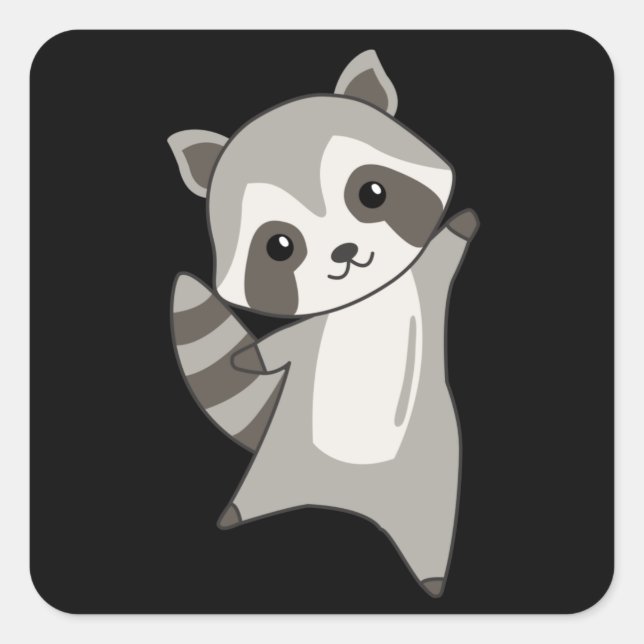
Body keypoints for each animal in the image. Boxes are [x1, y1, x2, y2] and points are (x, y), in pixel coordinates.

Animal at [169, 50, 479, 598]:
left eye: (372, 193)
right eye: (280, 246)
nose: (346, 252)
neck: (365, 301)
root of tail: (346, 497)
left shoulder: (428, 279)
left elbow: (446, 246)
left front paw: (463, 224)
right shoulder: (311, 332)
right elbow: (276, 346)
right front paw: (248, 357)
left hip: (433, 473)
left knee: (431, 524)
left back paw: (431, 572)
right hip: (284, 458)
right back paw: (237, 512)